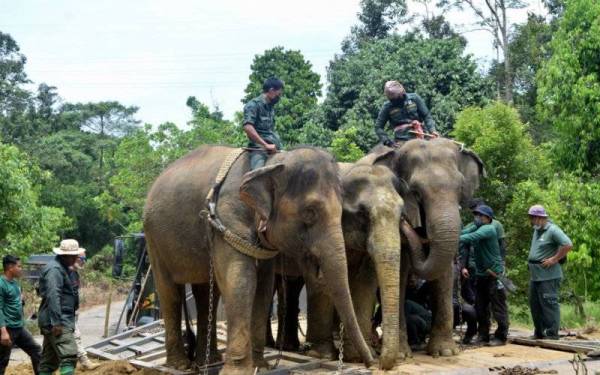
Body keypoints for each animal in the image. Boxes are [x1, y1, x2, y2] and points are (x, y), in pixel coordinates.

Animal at [143, 146, 372, 375]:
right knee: (169, 292)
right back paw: (180, 365)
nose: (370, 362)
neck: (271, 163)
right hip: (153, 238)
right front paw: (237, 370)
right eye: (310, 212)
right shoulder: (227, 220)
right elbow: (242, 282)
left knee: (207, 292)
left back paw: (208, 362)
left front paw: (259, 366)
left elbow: (263, 287)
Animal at [368, 138, 486, 358]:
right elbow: (400, 271)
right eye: (415, 192)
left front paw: (445, 352)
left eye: (461, 188)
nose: (404, 223)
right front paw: (401, 355)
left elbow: (444, 273)